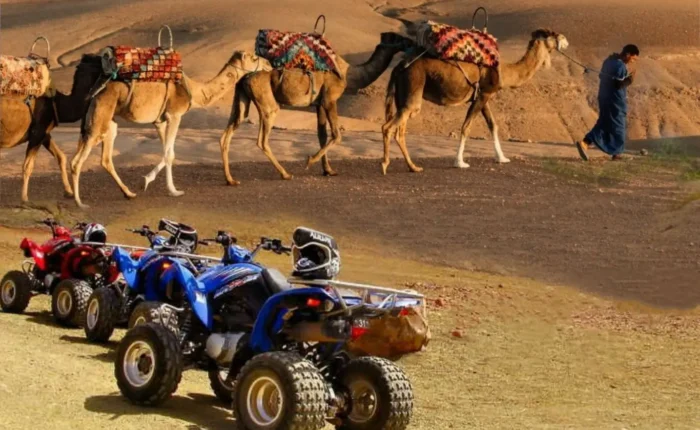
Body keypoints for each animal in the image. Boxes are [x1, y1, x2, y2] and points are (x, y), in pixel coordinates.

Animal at [0, 54, 103, 203]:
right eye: (100, 61)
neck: (57, 103)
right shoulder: (37, 132)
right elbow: (27, 166)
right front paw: (24, 198)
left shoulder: (44, 133)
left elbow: (61, 157)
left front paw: (69, 192)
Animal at [70, 50, 270, 208]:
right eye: (253, 57)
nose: (268, 64)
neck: (194, 91)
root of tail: (94, 91)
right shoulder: (175, 114)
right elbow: (169, 155)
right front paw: (174, 191)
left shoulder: (160, 120)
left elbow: (168, 152)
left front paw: (145, 181)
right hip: (100, 115)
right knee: (77, 161)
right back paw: (80, 203)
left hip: (107, 121)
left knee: (104, 159)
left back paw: (128, 193)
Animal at [218, 32, 415, 184]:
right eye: (399, 37)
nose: (411, 42)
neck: (348, 73)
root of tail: (246, 76)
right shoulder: (330, 98)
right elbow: (337, 135)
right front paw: (310, 161)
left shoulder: (319, 103)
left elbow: (323, 135)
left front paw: (328, 170)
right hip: (266, 101)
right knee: (262, 139)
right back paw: (285, 174)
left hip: (242, 97)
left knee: (230, 131)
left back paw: (230, 180)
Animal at [381, 28, 569, 174]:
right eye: (552, 33)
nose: (566, 40)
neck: (503, 71)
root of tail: (398, 67)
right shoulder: (483, 95)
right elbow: (466, 127)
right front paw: (460, 162)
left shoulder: (483, 96)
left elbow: (493, 125)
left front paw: (502, 158)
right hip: (413, 86)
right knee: (388, 127)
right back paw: (384, 165)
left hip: (403, 94)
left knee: (400, 130)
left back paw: (413, 167)